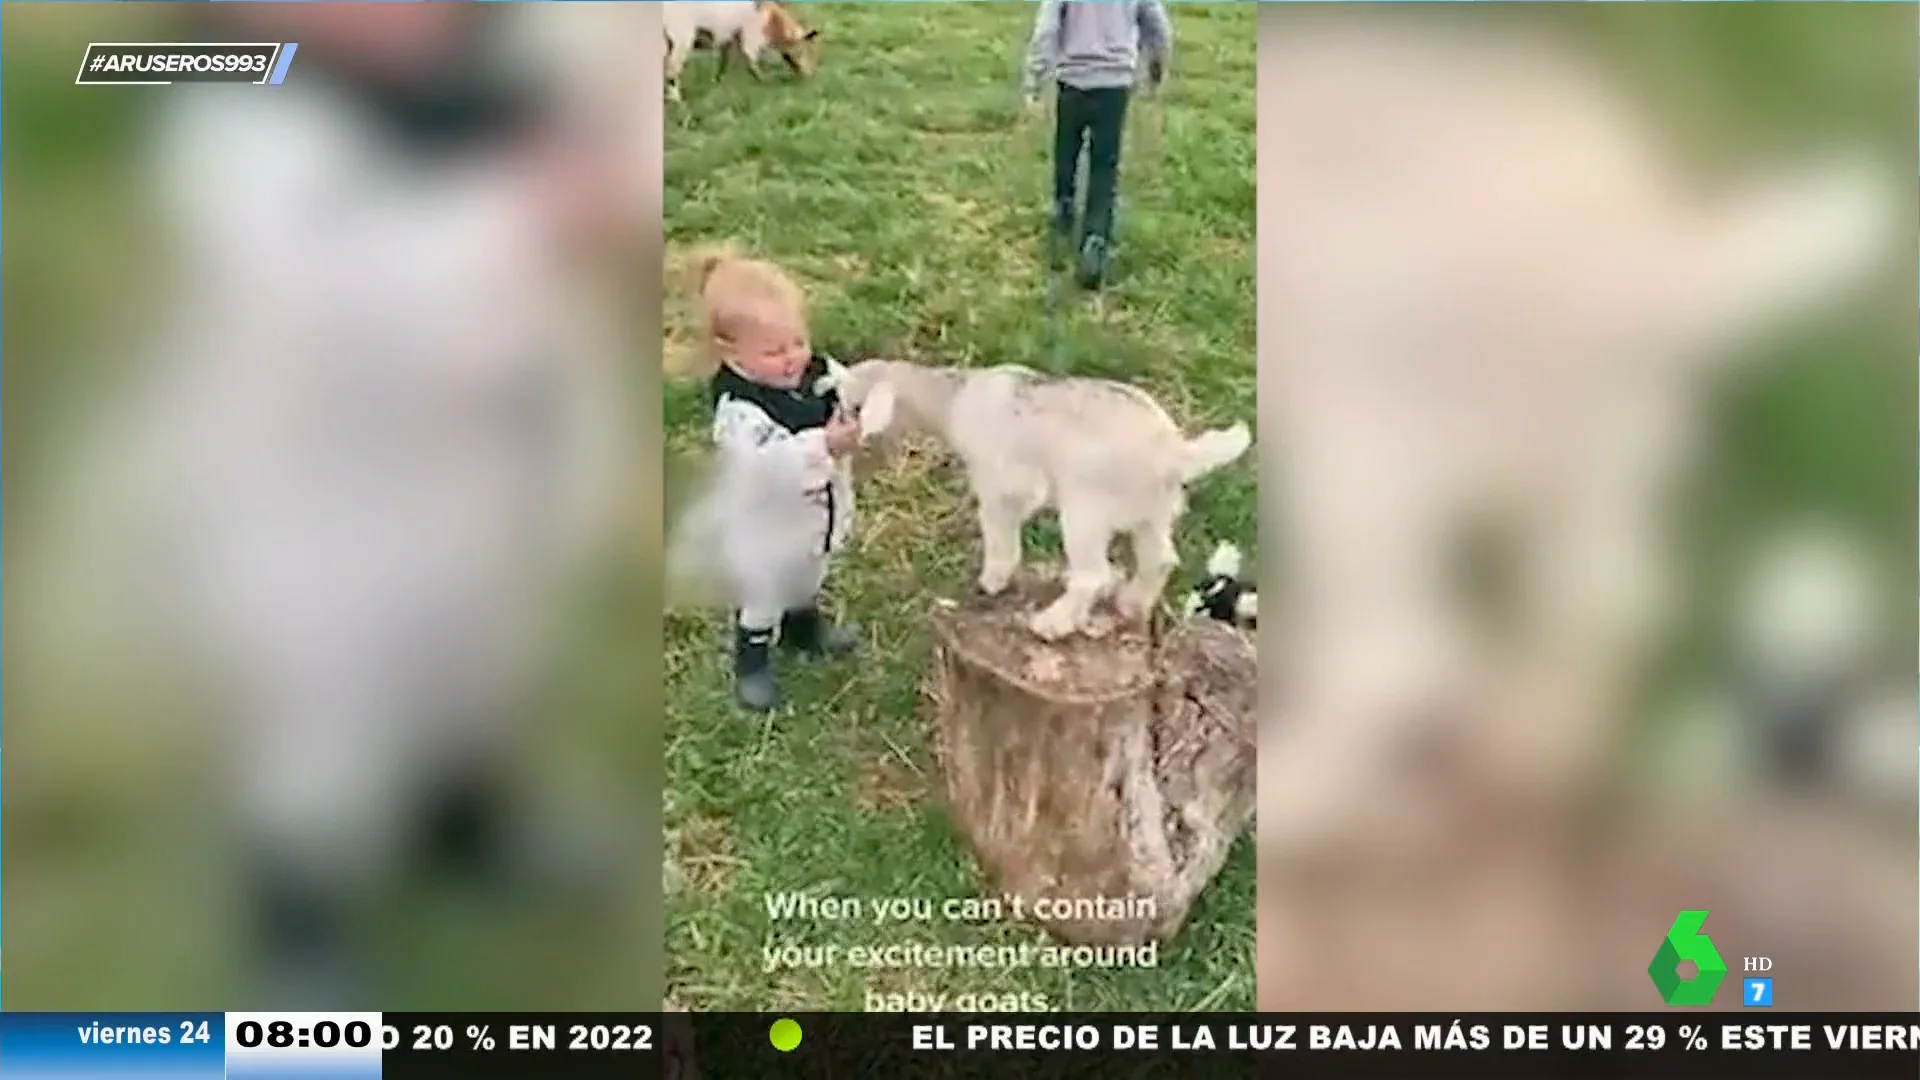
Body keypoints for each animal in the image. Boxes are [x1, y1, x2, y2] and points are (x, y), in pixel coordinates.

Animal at [833, 361, 1251, 634]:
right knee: (1160, 559)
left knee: (1092, 574)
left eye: (855, 406)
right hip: (1153, 511)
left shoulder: (1001, 483)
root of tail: (1173, 451)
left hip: (1087, 509)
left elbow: (1000, 536)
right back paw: (1131, 606)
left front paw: (992, 580)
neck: (954, 400)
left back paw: (1054, 622)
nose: (847, 438)